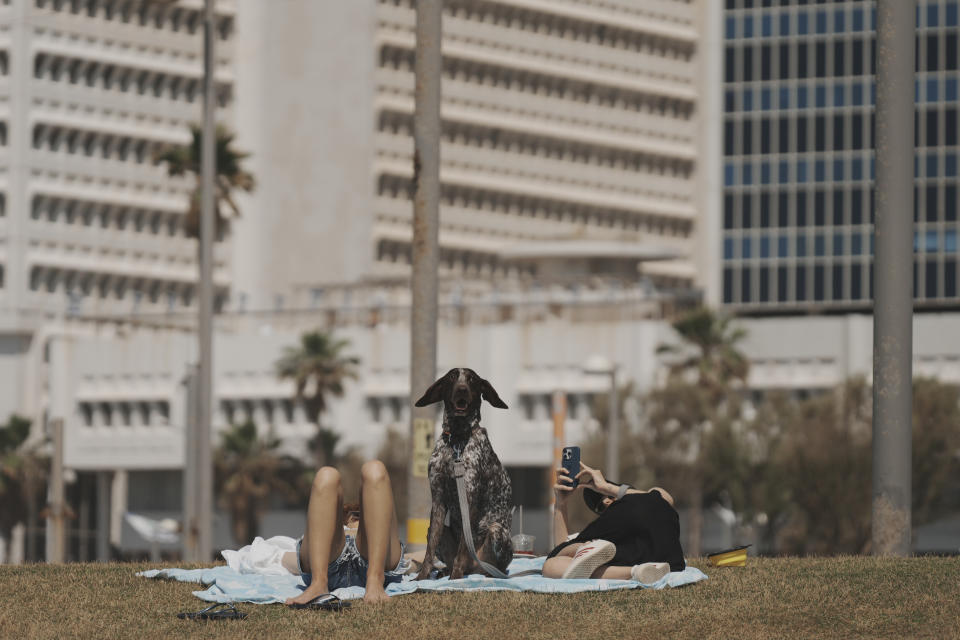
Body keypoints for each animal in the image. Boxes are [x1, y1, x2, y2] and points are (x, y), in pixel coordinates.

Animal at [414, 364, 512, 580]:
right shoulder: (438, 500)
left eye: (472, 380)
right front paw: (421, 577)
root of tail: (474, 568)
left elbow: (462, 550)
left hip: (496, 531)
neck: (457, 440)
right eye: (451, 377)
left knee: (494, 567)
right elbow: (429, 551)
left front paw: (455, 579)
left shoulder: (469, 498)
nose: (462, 390)